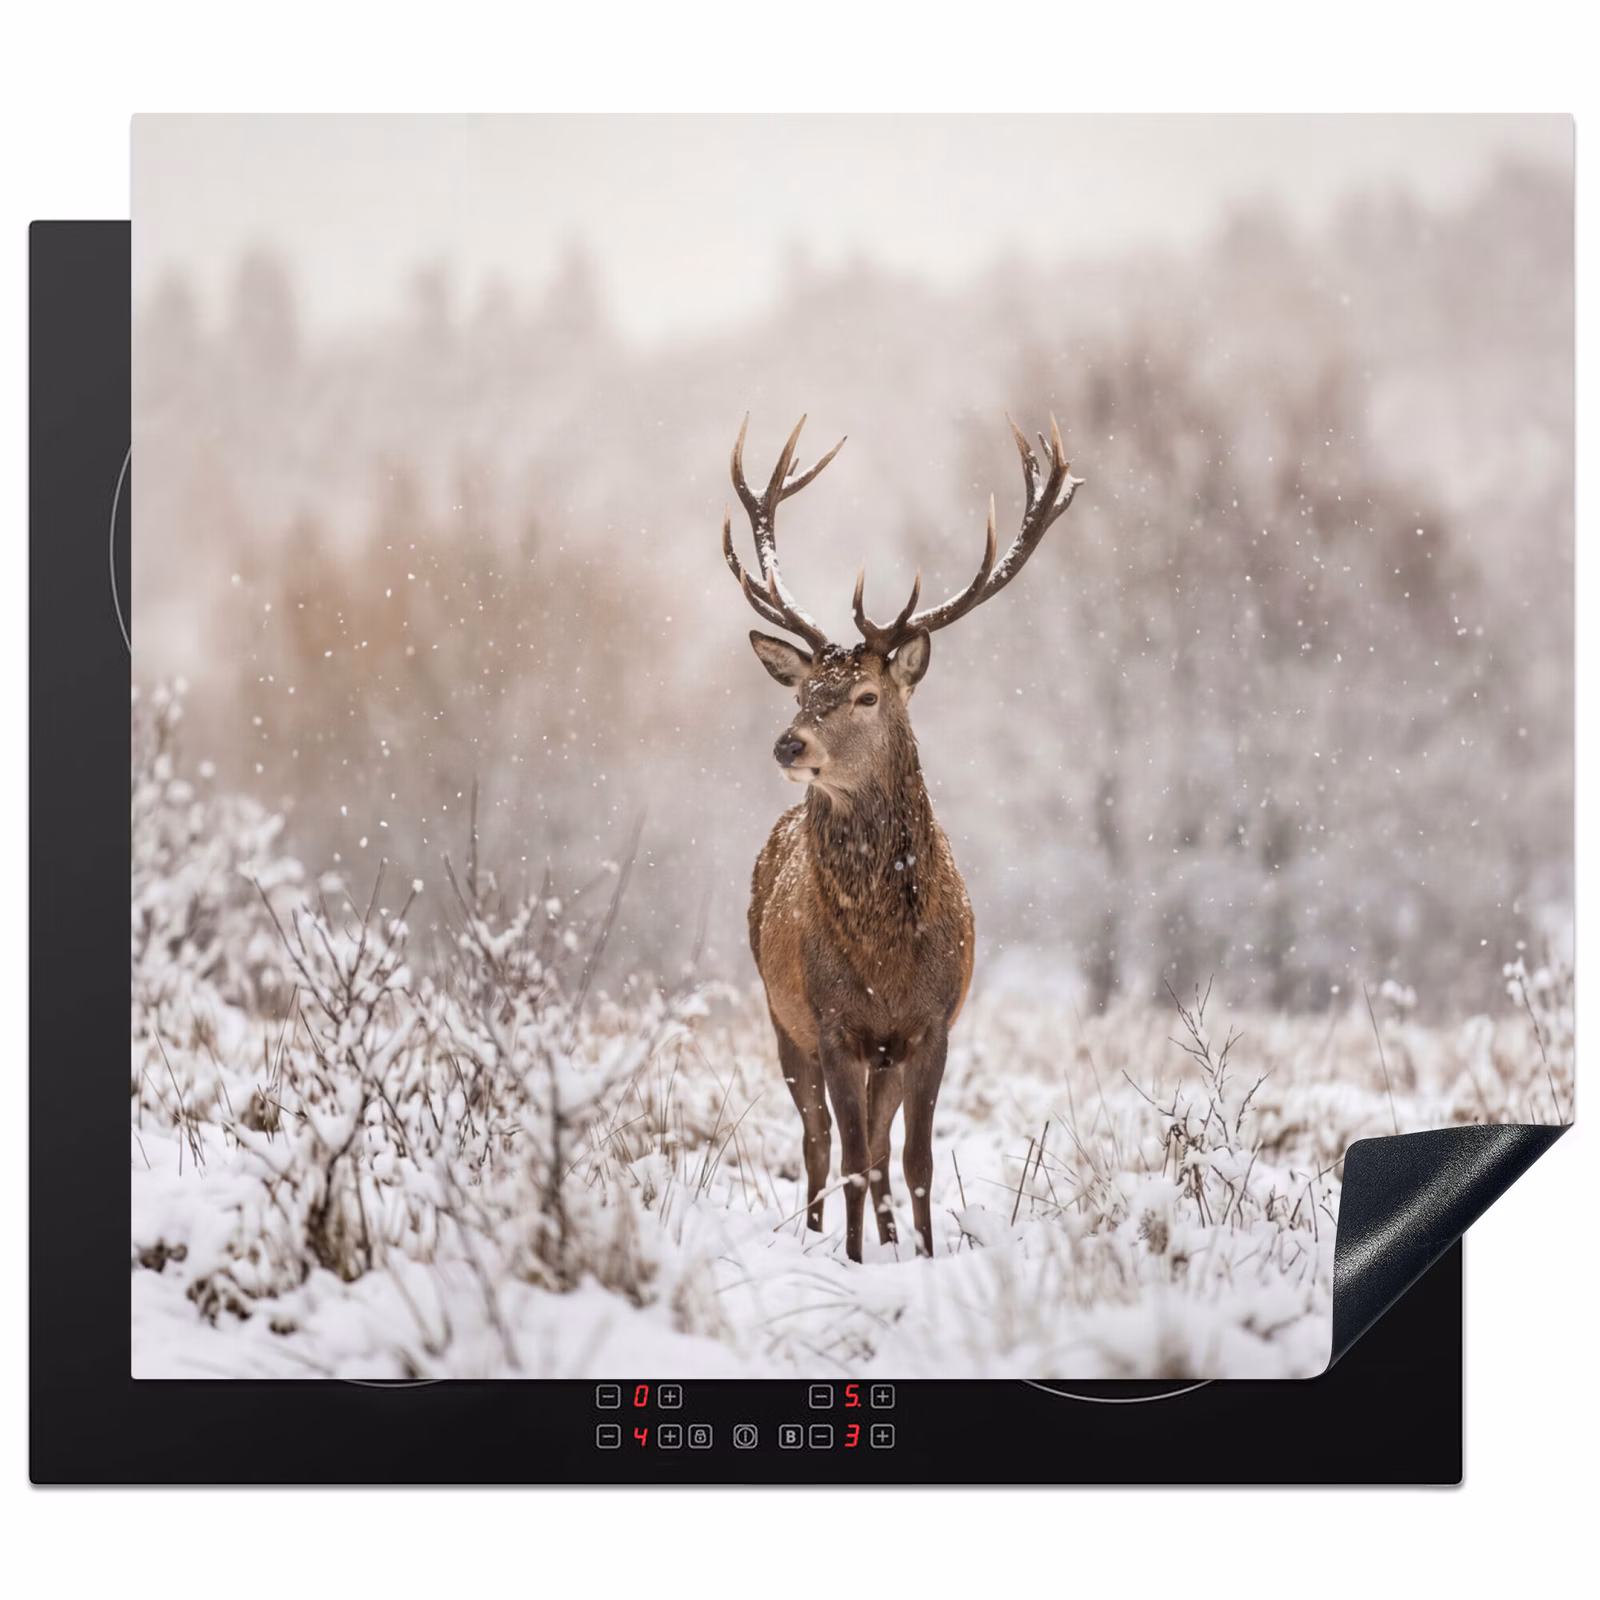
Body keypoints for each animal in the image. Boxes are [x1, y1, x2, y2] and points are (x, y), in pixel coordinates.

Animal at [723, 412, 1082, 1262]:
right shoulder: (833, 1022)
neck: (884, 955)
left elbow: (914, 1157)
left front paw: (919, 1253)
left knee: (881, 1148)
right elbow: (851, 1153)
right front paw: (854, 1261)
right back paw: (818, 1233)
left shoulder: (931, 1024)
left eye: (865, 694)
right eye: (801, 691)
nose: (789, 744)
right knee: (819, 1141)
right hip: (781, 1018)